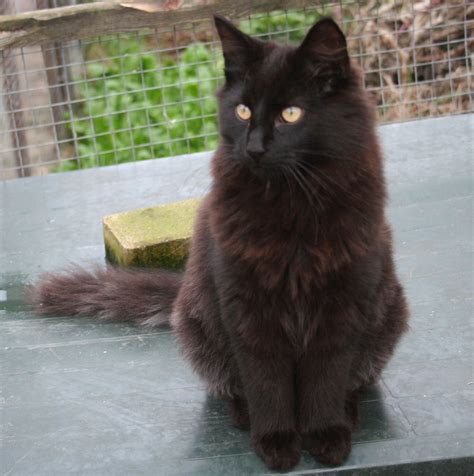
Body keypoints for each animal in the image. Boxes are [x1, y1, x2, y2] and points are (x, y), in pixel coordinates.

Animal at [31, 16, 408, 470]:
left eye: (291, 114)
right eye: (242, 110)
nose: (254, 147)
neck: (290, 209)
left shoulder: (343, 303)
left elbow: (327, 376)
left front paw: (325, 435)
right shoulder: (245, 306)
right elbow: (266, 381)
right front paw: (276, 441)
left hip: (387, 314)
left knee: (354, 381)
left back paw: (347, 413)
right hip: (200, 322)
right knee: (234, 386)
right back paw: (246, 417)